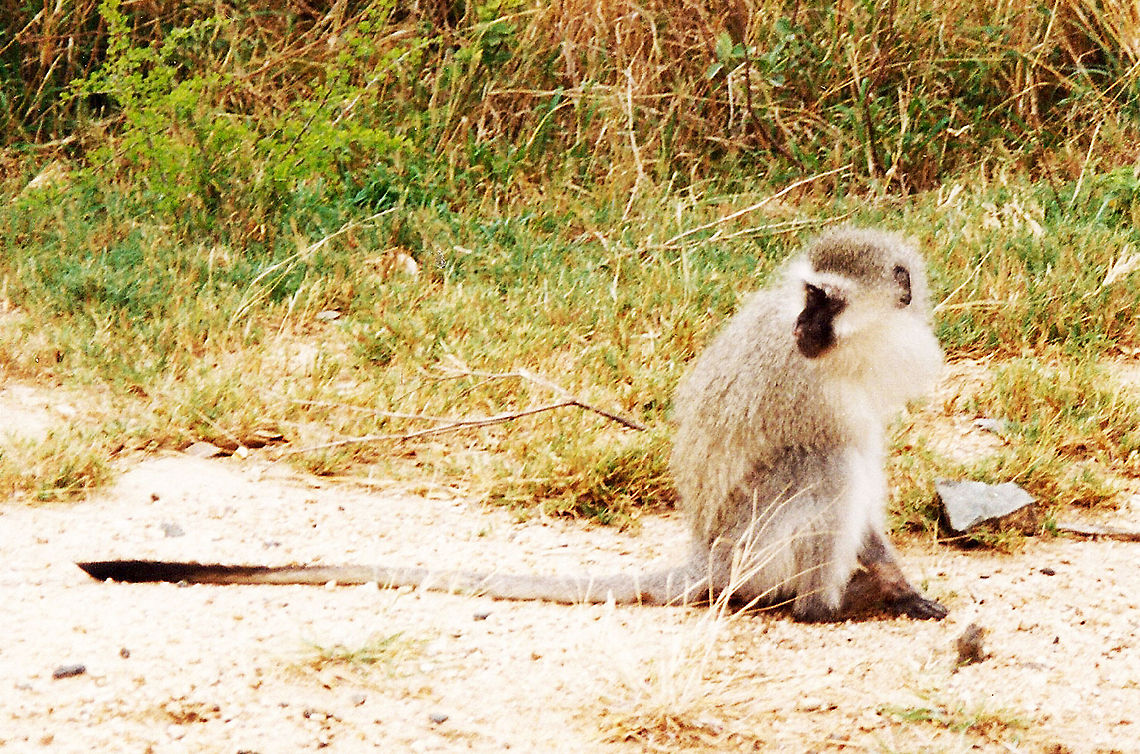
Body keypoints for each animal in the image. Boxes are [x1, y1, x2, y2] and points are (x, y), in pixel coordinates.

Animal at [78, 227, 947, 622]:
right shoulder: (816, 393)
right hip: (752, 549)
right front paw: (875, 589)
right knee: (828, 470)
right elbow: (846, 460)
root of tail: (705, 555)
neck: (857, 349)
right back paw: (820, 607)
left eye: (826, 301)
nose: (801, 328)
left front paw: (901, 582)